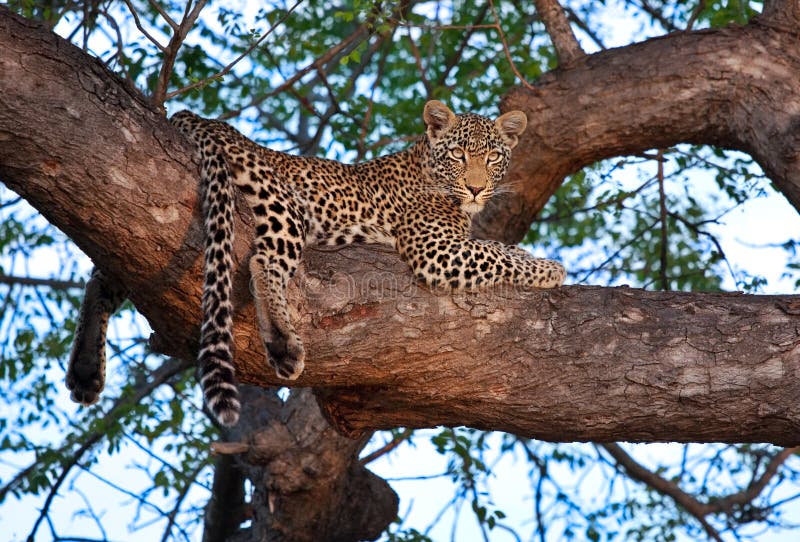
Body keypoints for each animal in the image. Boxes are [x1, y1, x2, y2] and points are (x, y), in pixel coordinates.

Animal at [69, 100, 564, 428]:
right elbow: (492, 253)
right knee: (264, 261)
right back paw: (283, 343)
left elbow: (498, 248)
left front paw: (531, 255)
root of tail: (199, 118)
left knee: (104, 274)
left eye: (493, 157)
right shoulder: (434, 249)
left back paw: (85, 370)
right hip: (282, 205)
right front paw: (551, 269)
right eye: (459, 155)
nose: (478, 189)